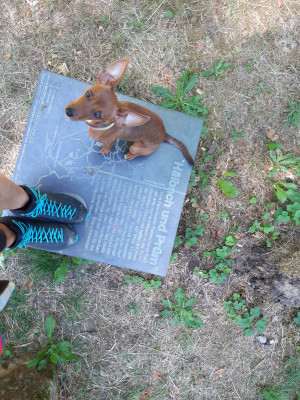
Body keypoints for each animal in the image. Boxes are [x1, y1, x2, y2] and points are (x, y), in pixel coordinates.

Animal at [64, 58, 193, 164]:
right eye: (89, 93)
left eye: (98, 115)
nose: (68, 111)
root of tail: (164, 133)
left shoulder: (110, 140)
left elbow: (109, 144)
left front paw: (105, 149)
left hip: (135, 147)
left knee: (135, 152)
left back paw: (130, 155)